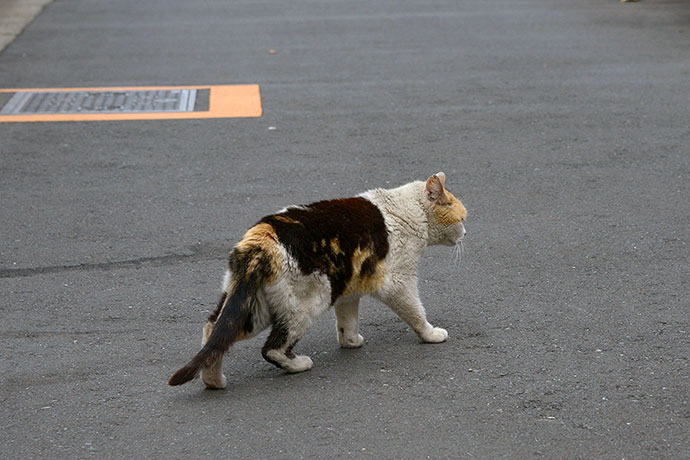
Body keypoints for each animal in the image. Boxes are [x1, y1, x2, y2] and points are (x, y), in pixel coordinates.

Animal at [169, 172, 464, 388]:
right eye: (462, 218)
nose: (466, 232)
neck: (408, 209)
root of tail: (259, 240)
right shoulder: (399, 281)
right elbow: (415, 311)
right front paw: (430, 334)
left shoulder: (349, 288)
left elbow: (347, 320)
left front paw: (350, 341)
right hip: (306, 303)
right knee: (272, 348)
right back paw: (299, 364)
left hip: (254, 307)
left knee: (213, 331)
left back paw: (214, 381)